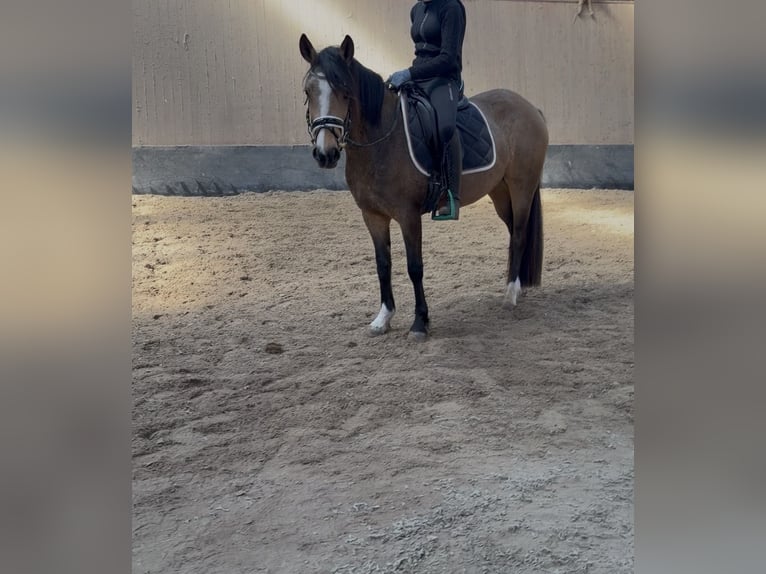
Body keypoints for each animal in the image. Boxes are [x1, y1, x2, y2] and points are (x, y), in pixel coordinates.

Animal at [299, 34, 548, 340]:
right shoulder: (372, 216)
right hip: (500, 192)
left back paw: (511, 294)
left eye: (345, 92)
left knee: (521, 234)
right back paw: (517, 286)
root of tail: (529, 107)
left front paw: (420, 322)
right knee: (513, 231)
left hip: (521, 187)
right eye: (308, 91)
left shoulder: (408, 215)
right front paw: (383, 318)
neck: (382, 141)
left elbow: (414, 267)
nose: (326, 154)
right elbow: (383, 265)